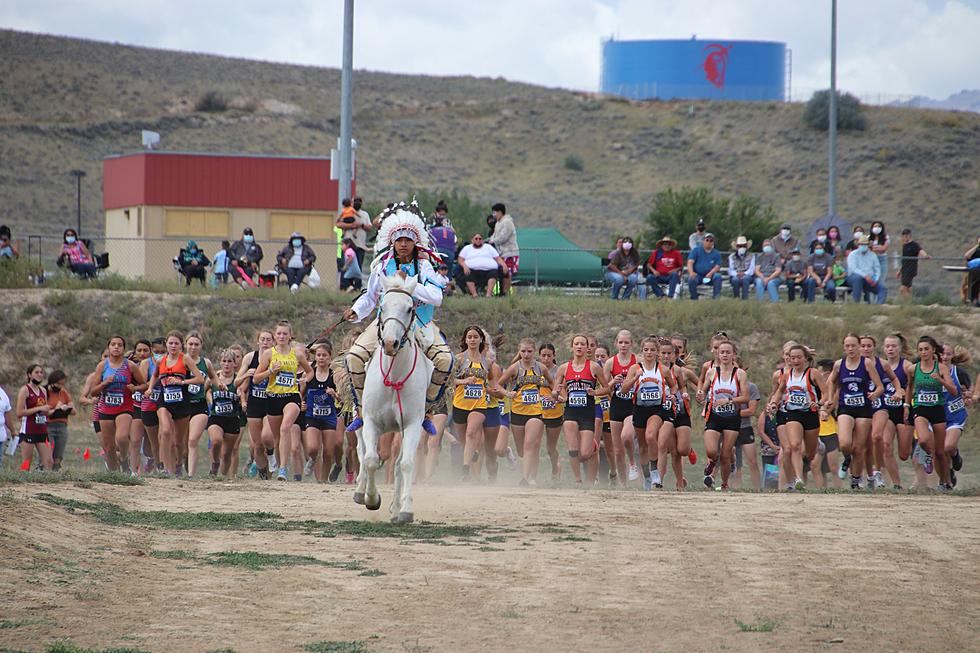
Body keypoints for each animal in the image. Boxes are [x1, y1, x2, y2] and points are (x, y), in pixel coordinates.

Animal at [350, 272, 430, 524]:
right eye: (382, 306)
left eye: (409, 308)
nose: (390, 343)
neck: (394, 376)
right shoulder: (372, 422)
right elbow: (371, 459)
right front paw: (371, 499)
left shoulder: (412, 425)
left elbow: (405, 465)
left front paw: (404, 510)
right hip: (358, 419)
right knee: (362, 451)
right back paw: (360, 491)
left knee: (396, 465)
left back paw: (395, 508)